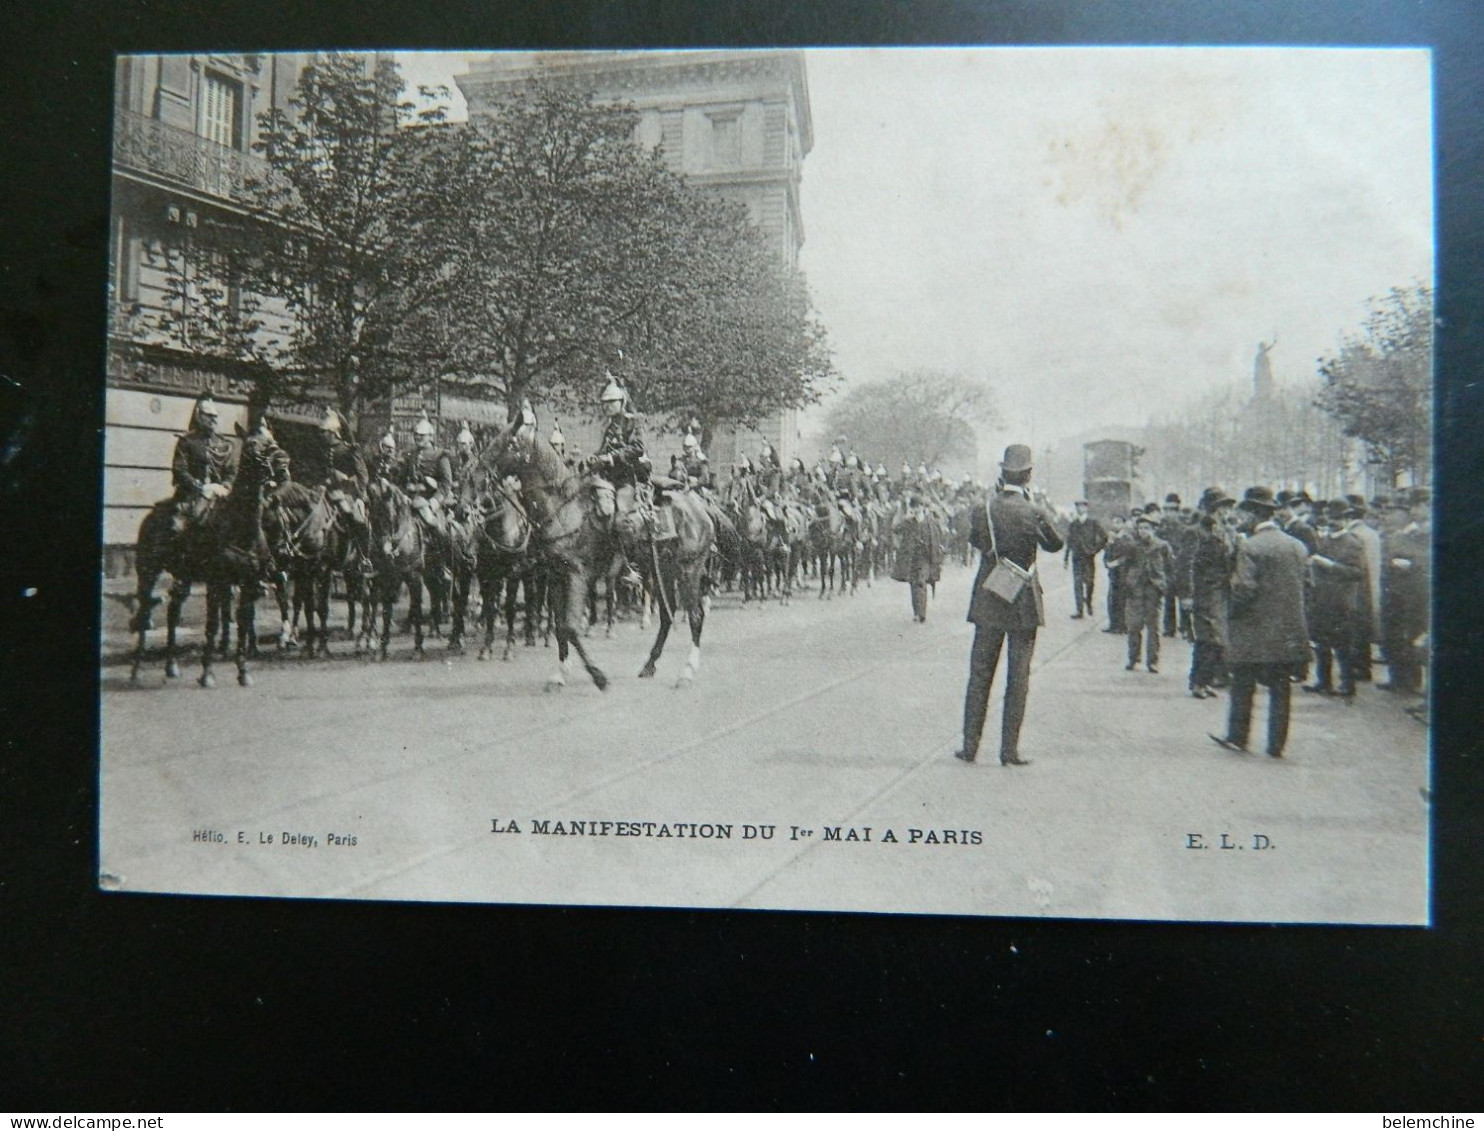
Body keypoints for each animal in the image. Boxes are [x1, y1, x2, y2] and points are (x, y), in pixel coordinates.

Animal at [130, 424, 289, 682]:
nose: (281, 463)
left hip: (182, 575)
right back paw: (136, 669)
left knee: (173, 612)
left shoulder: (247, 584)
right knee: (145, 612)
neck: (241, 526)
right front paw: (207, 673)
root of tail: (151, 516)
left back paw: (171, 665)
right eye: (252, 444)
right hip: (148, 572)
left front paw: (243, 671)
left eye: (272, 440)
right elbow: (213, 625)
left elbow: (242, 623)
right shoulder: (218, 583)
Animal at [492, 421, 712, 688]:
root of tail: (699, 508)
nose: (478, 468)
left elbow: (571, 627)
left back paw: (686, 672)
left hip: (689, 569)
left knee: (695, 615)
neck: (564, 510)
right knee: (667, 616)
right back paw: (649, 665)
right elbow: (560, 627)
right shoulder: (556, 577)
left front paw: (598, 676)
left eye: (508, 444)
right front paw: (560, 673)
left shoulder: (577, 575)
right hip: (664, 573)